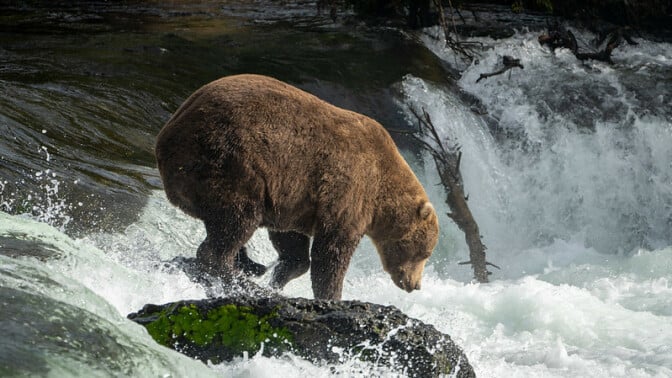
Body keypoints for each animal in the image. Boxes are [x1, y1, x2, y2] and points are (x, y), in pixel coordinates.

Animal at [157, 73, 440, 298]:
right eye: (424, 253)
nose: (415, 285)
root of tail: (167, 136)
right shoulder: (350, 191)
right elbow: (332, 253)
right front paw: (331, 295)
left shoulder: (293, 197)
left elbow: (291, 241)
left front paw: (280, 276)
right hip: (230, 160)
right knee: (237, 221)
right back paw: (234, 275)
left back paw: (249, 266)